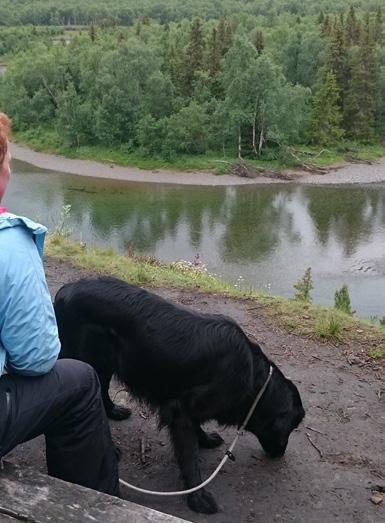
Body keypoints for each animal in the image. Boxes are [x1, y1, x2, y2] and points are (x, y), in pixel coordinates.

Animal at [54, 276, 304, 512]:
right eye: (291, 428)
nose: (280, 454)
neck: (254, 377)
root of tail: (64, 291)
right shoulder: (181, 411)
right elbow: (189, 456)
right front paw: (198, 497)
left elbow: (197, 430)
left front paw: (206, 439)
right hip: (86, 358)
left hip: (103, 362)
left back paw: (114, 412)